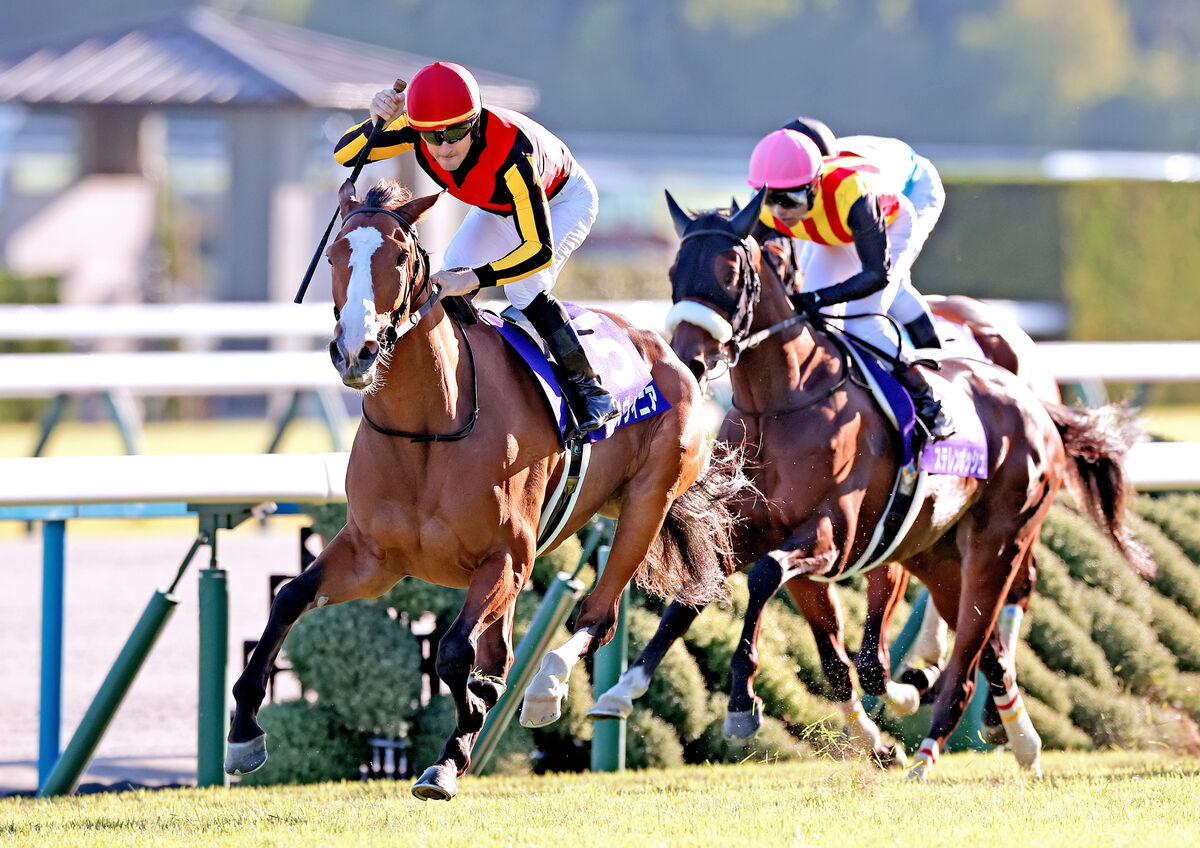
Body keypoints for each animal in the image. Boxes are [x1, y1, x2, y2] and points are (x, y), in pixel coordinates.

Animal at [225, 181, 748, 801]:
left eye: (398, 257)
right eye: (334, 255)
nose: (356, 351)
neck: (429, 426)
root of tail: (670, 353)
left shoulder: (507, 559)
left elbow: (454, 653)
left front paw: (459, 740)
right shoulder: (373, 557)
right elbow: (290, 597)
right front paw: (244, 731)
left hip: (648, 501)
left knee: (596, 617)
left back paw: (545, 691)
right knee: (507, 649)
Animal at [595, 194, 1147, 782]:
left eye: (731, 274)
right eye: (675, 272)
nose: (690, 360)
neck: (782, 403)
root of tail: (1034, 401)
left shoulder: (834, 536)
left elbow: (770, 582)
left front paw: (743, 701)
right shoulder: (755, 528)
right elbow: (711, 603)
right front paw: (623, 690)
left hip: (999, 542)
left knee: (982, 637)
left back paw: (937, 742)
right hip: (939, 552)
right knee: (987, 647)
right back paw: (1015, 738)